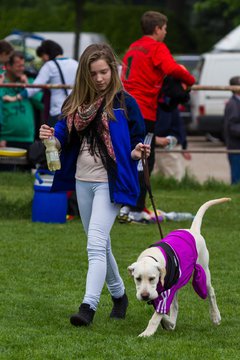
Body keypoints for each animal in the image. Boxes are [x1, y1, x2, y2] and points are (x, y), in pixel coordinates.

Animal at [127, 197, 231, 338]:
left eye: (152, 278)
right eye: (137, 278)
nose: (144, 296)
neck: (152, 257)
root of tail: (193, 231)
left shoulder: (165, 292)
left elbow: (156, 316)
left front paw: (147, 333)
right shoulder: (160, 292)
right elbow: (162, 310)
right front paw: (168, 323)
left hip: (205, 271)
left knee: (211, 293)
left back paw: (215, 316)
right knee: (175, 306)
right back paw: (171, 323)